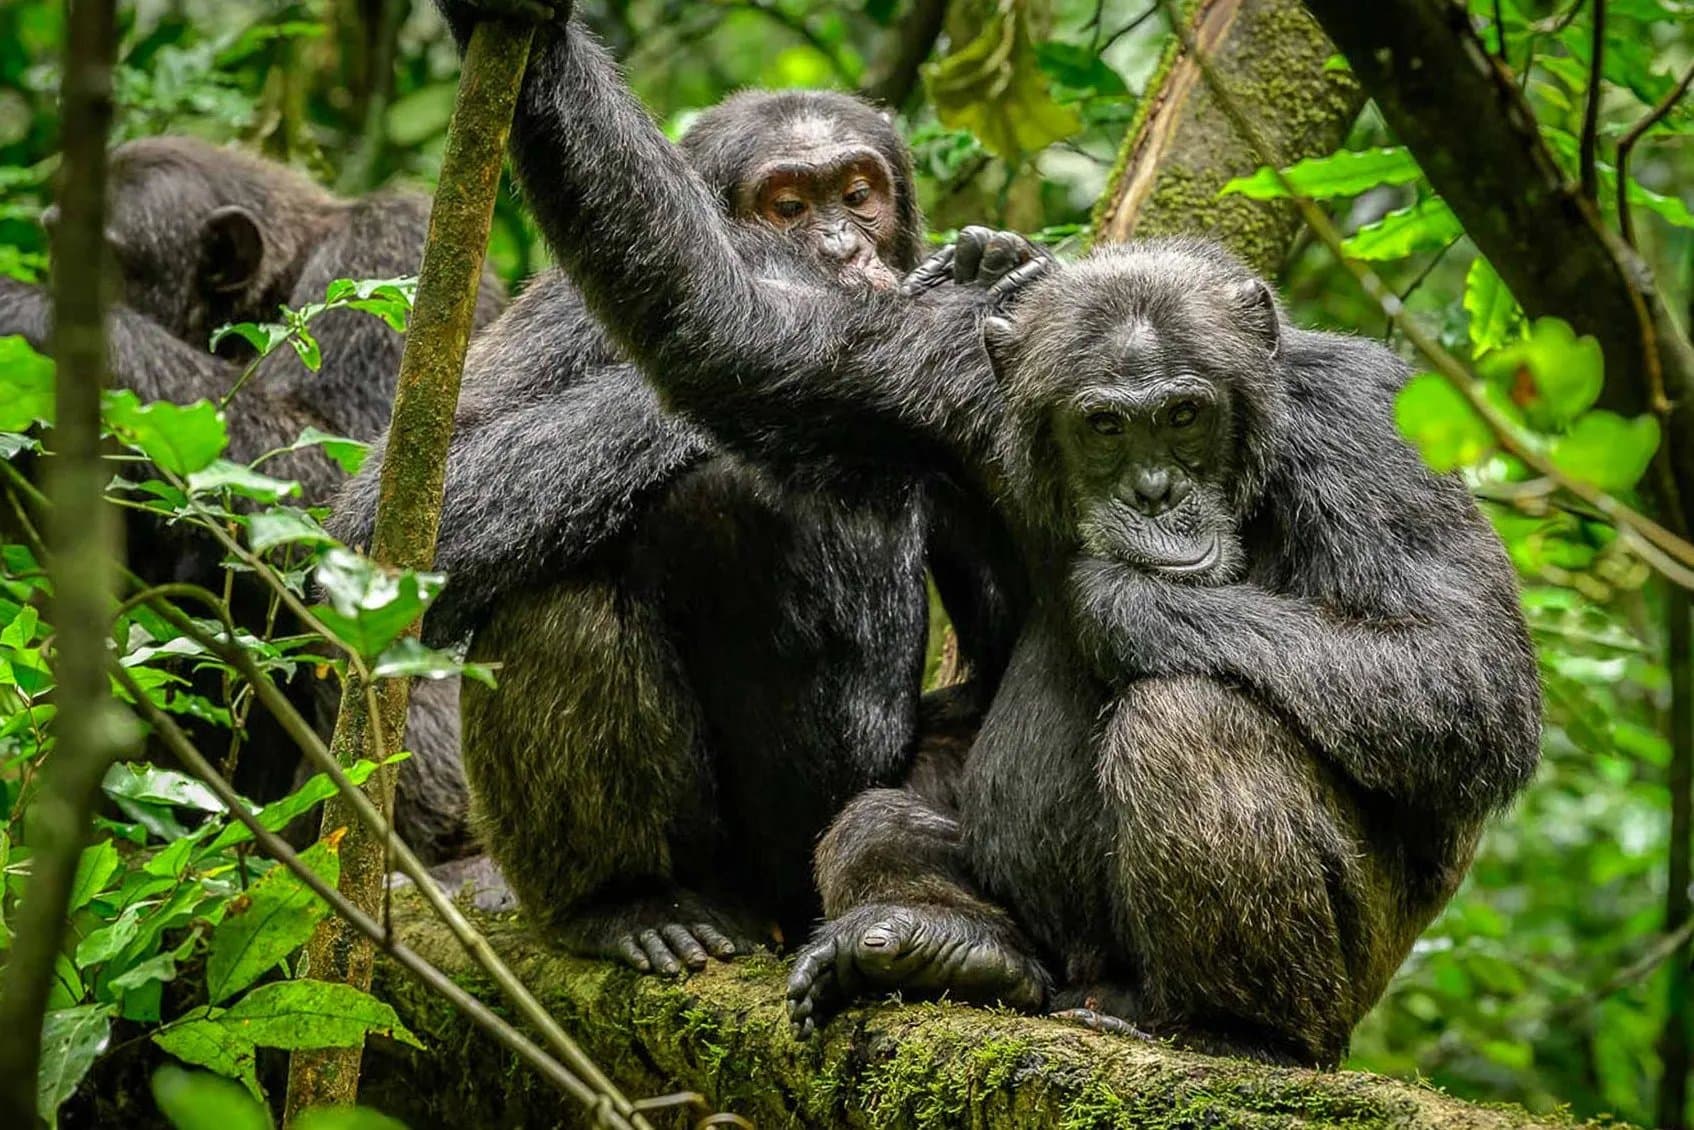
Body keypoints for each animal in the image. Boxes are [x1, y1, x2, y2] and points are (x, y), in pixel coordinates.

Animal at [415, 7, 1541, 1063]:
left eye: (1184, 413)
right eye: (1104, 425)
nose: (1155, 491)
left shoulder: (1373, 432)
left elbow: (1457, 668)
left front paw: (1124, 597)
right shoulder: (946, 379)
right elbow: (728, 328)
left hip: (1341, 982)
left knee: (1193, 716)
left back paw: (1235, 1030)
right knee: (860, 808)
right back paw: (908, 940)